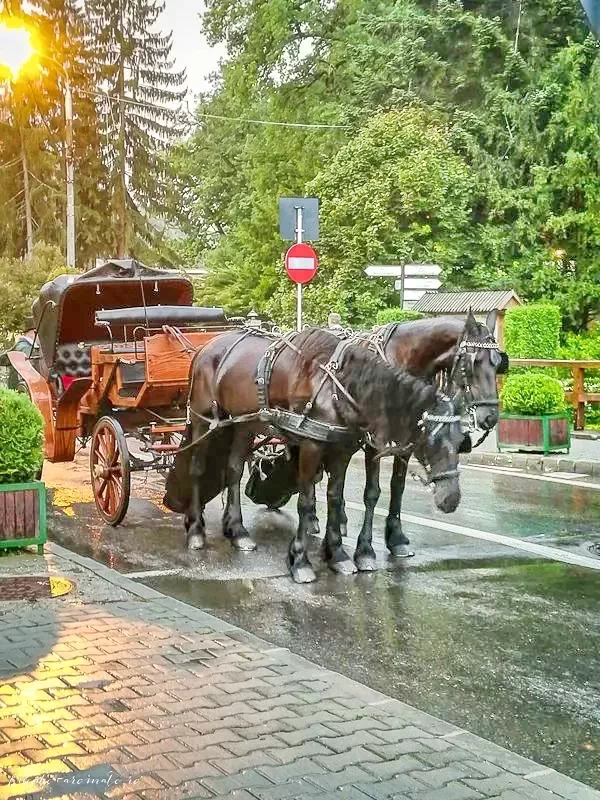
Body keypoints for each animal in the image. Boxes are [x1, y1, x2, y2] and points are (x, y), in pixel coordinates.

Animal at [166, 328, 466, 584]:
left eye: (461, 440)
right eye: (433, 439)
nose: (451, 499)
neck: (338, 387)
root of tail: (206, 348)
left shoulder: (342, 450)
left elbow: (334, 498)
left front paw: (338, 554)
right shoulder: (312, 446)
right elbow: (306, 501)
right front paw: (300, 561)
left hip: (243, 424)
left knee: (234, 470)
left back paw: (238, 532)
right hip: (203, 419)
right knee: (197, 468)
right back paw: (196, 530)